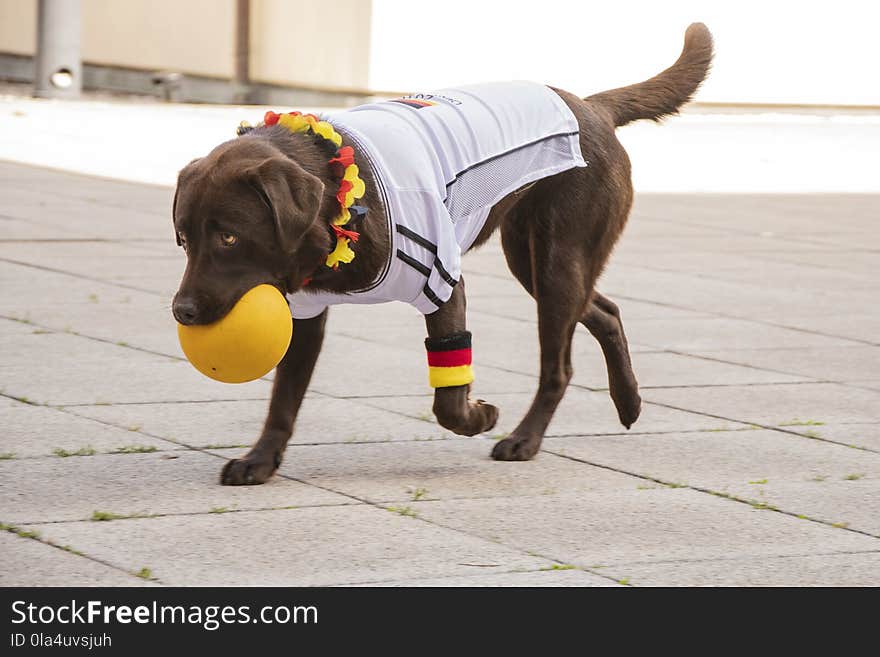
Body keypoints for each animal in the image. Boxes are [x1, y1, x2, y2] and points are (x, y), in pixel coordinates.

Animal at [172, 23, 716, 482]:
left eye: (228, 238)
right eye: (184, 239)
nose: (181, 311)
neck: (340, 194)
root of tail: (590, 106)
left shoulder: (443, 283)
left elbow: (448, 398)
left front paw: (479, 417)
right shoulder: (305, 312)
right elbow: (284, 396)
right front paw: (261, 459)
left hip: (559, 261)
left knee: (559, 365)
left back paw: (524, 439)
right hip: (533, 260)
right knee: (605, 311)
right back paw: (628, 402)